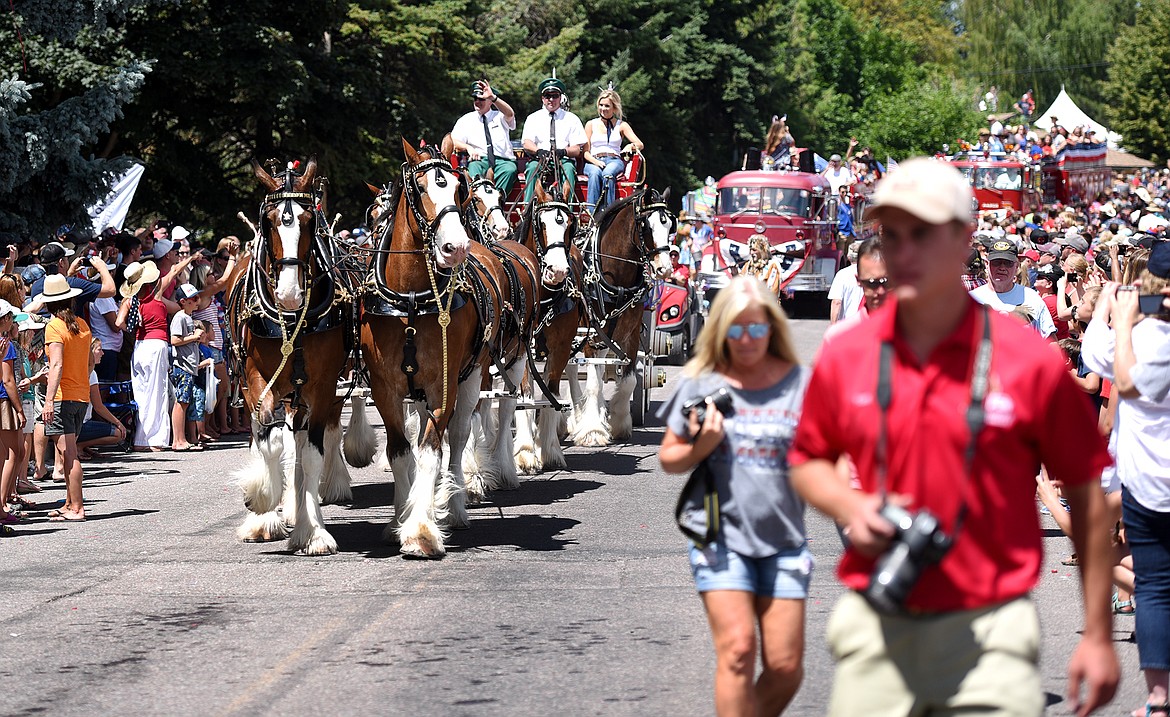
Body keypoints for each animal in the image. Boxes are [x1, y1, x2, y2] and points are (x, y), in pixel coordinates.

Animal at [228, 159, 374, 554]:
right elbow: (270, 439)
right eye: (269, 222)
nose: (290, 294)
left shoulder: (322, 386)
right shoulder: (256, 381)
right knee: (270, 436)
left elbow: (311, 452)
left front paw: (314, 531)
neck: (293, 318)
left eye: (310, 221)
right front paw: (262, 501)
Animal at [570, 187, 673, 444]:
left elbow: (629, 380)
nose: (665, 268)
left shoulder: (631, 334)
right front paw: (592, 431)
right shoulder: (590, 333)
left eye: (670, 225)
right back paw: (576, 418)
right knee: (573, 370)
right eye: (647, 226)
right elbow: (593, 383)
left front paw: (618, 422)